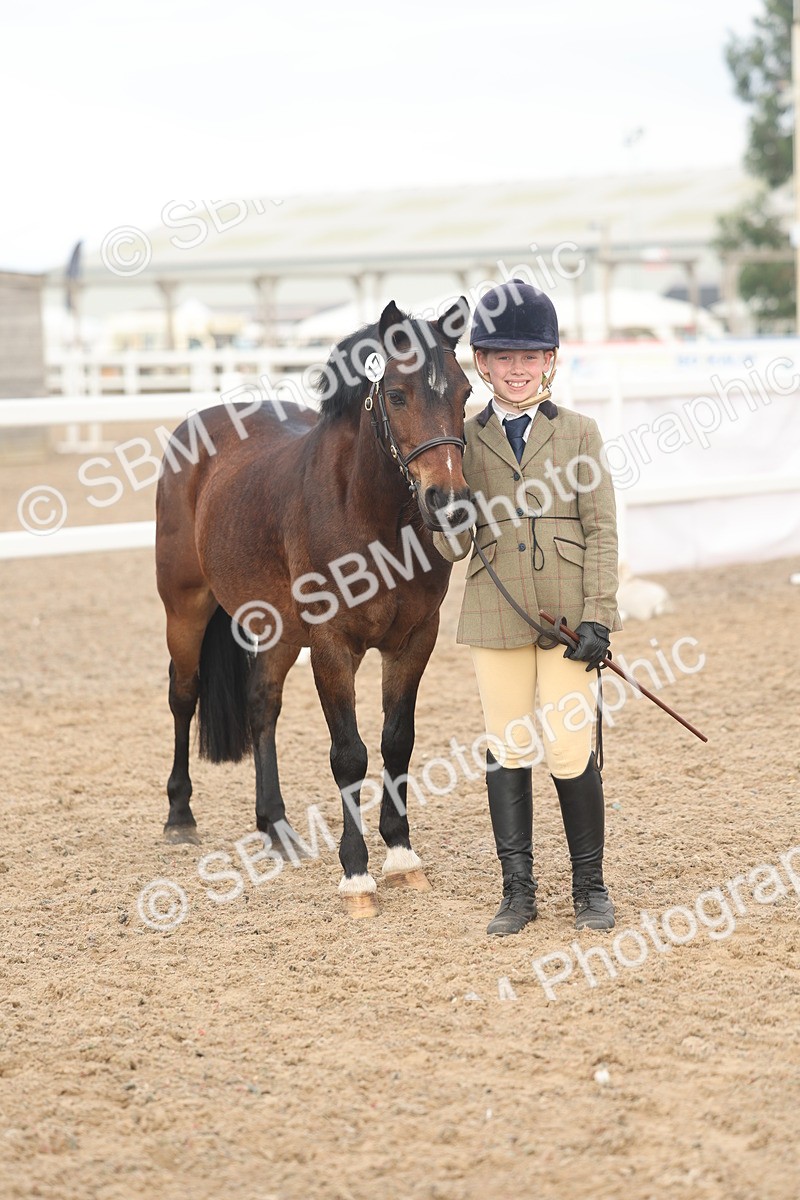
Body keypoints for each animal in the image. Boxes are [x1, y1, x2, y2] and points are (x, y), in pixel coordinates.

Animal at [155, 299, 472, 916]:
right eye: (397, 394)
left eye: (467, 392)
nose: (449, 506)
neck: (369, 514)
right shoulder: (332, 645)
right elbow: (348, 754)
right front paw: (357, 875)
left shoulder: (414, 640)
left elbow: (396, 740)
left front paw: (402, 855)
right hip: (184, 610)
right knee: (183, 697)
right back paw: (180, 816)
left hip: (278, 631)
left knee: (262, 705)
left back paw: (275, 826)